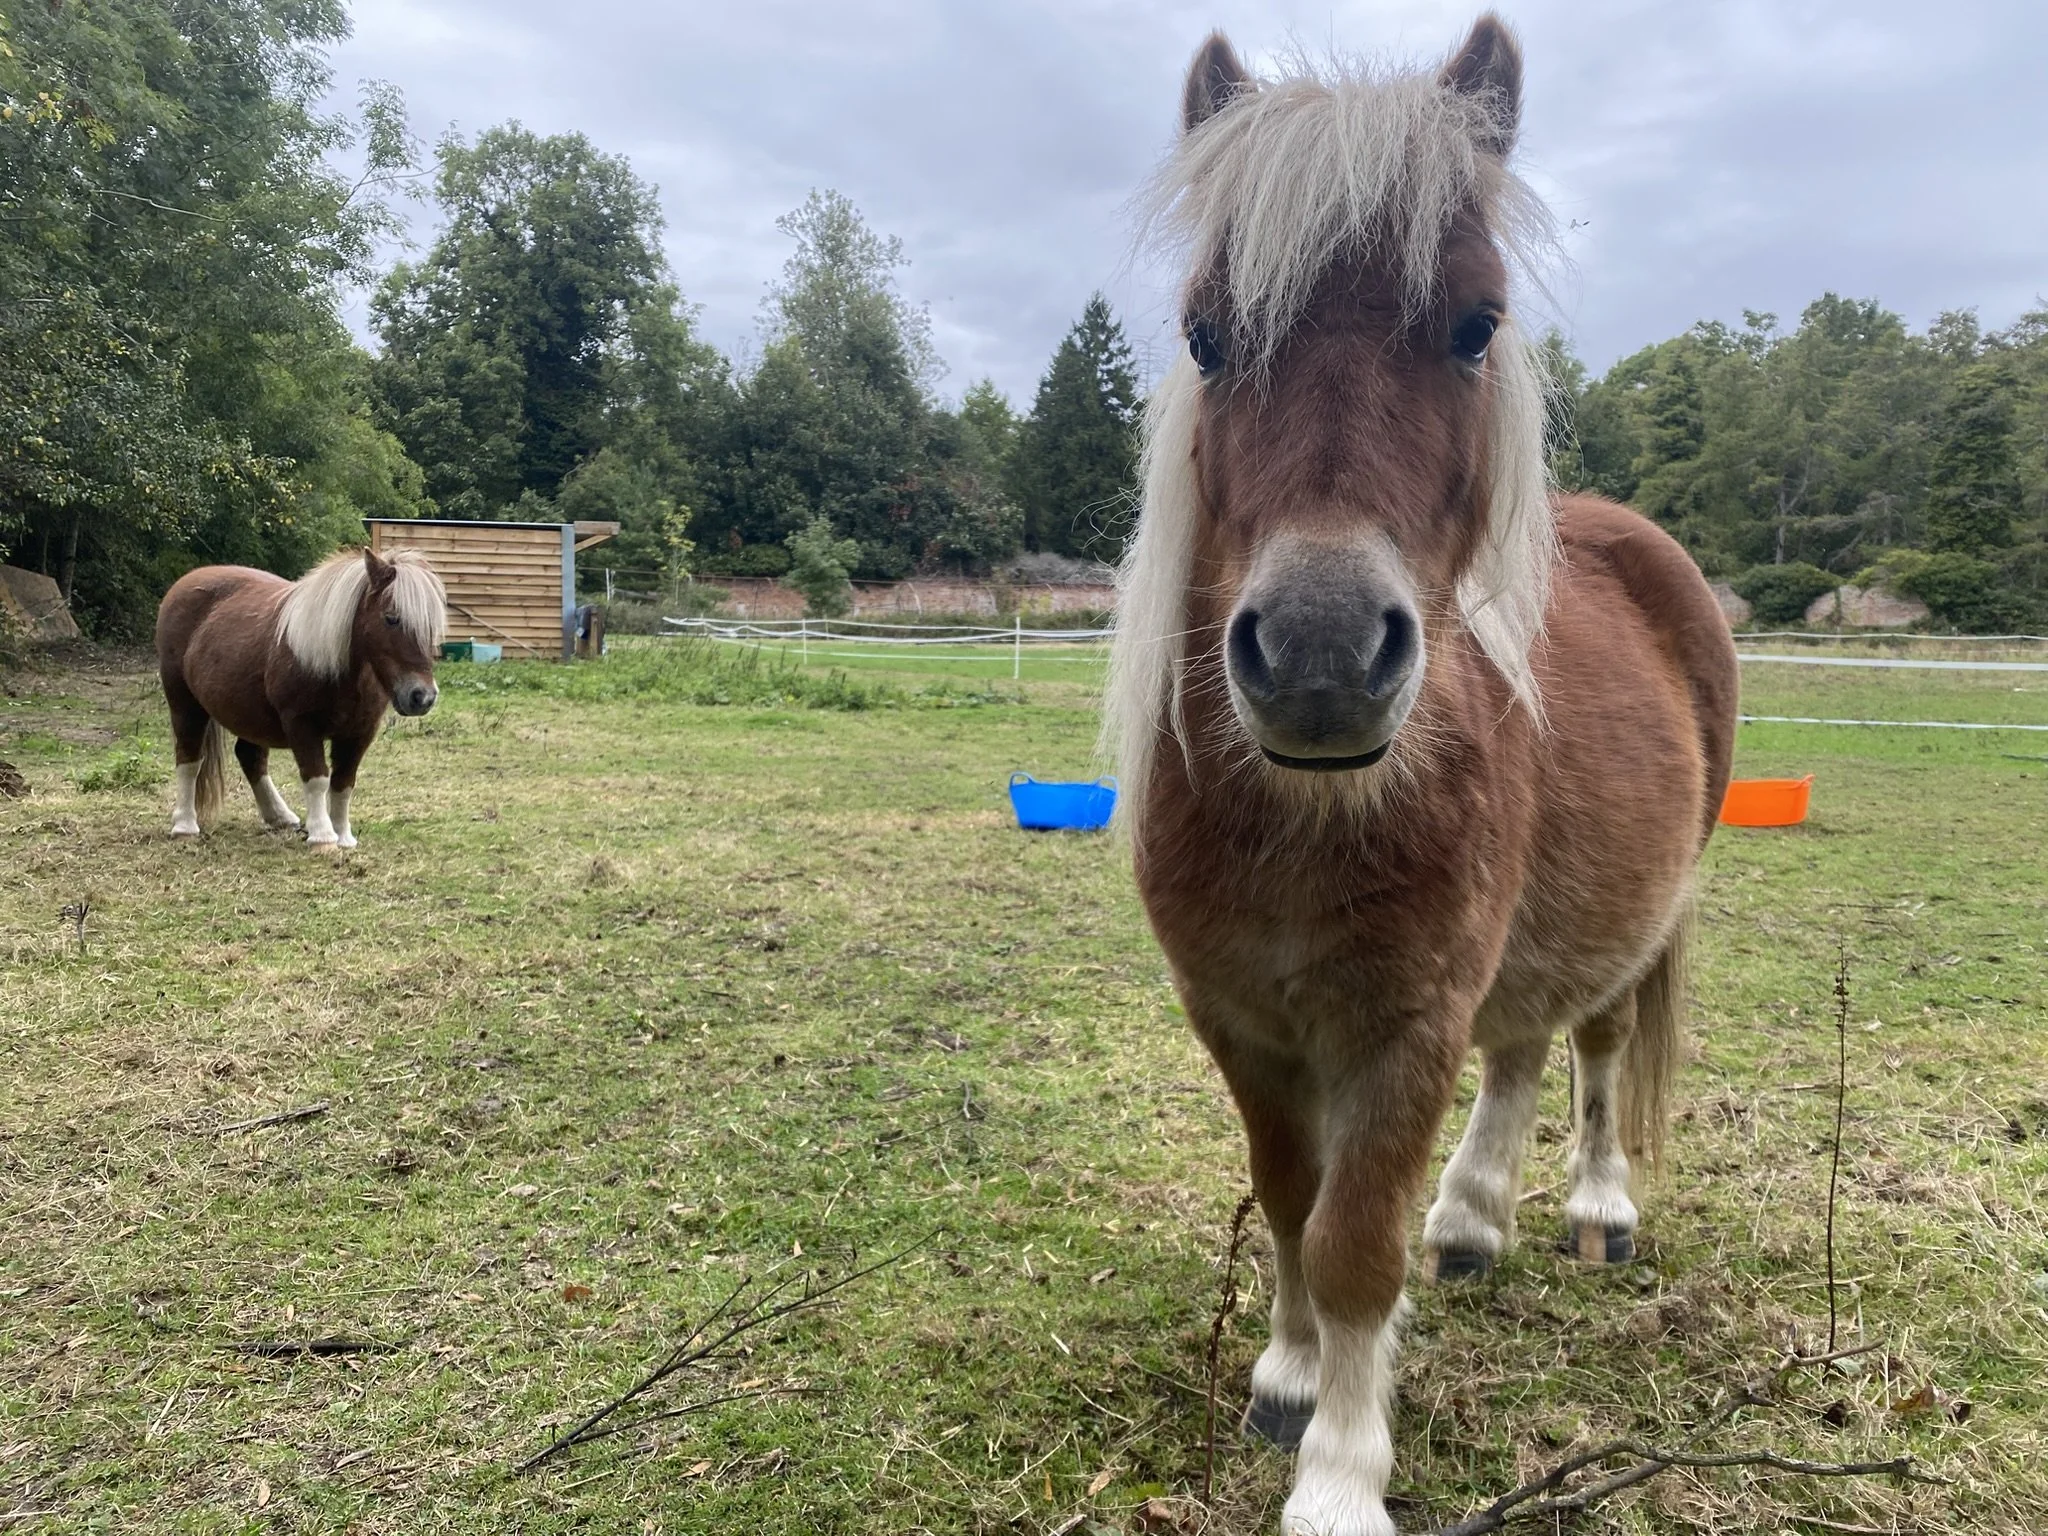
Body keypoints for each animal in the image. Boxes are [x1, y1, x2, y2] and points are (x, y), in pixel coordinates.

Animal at [155, 548, 447, 850]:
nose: (422, 697)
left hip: (249, 714)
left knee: (250, 757)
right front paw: (323, 837)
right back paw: (184, 825)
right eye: (391, 618)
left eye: (431, 624)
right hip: (185, 704)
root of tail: (185, 583)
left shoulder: (360, 732)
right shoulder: (301, 725)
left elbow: (343, 782)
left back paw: (280, 816)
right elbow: (317, 778)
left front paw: (343, 836)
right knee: (189, 758)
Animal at [1105, 17, 1739, 1534]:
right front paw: (1288, 1379)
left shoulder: (1404, 1026)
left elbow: (1352, 1240)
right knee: (1521, 1048)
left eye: (1474, 325)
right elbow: (1288, 1198)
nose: (1322, 654)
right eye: (1208, 333)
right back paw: (1473, 1218)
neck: (1302, 817)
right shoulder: (1241, 1021)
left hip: (1641, 920)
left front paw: (1341, 1471)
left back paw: (1592, 1210)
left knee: (1592, 1048)